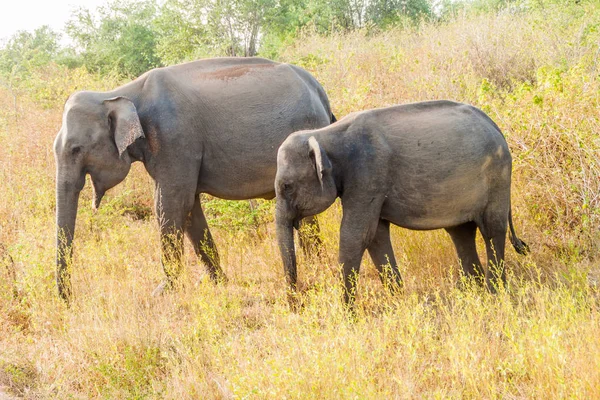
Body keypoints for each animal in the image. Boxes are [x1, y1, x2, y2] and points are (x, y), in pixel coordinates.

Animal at [53, 57, 336, 304]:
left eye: (76, 149)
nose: (69, 300)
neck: (119, 93)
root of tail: (318, 88)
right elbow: (189, 208)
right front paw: (219, 283)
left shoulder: (175, 139)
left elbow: (171, 204)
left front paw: (162, 292)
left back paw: (317, 269)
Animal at [274, 100, 528, 306]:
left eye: (286, 186)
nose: (297, 303)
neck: (324, 135)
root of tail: (494, 125)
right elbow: (375, 236)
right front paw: (398, 301)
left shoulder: (368, 174)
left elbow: (356, 235)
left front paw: (348, 314)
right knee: (461, 233)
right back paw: (474, 292)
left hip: (497, 178)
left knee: (492, 231)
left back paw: (494, 293)